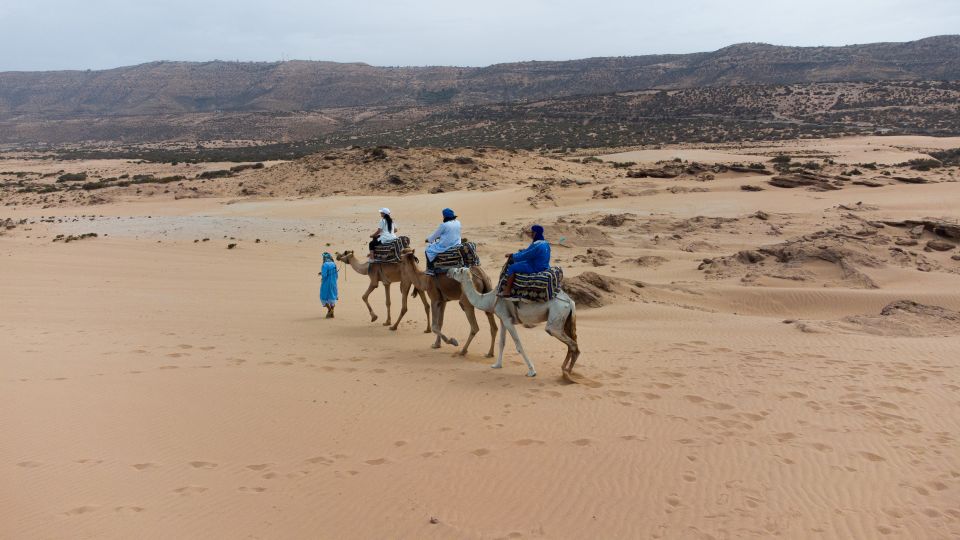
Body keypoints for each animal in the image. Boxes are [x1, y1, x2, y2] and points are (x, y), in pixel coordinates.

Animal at [448, 264, 576, 376]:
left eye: (459, 270)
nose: (449, 270)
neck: (490, 299)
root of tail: (570, 302)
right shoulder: (503, 318)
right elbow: (502, 342)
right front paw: (497, 365)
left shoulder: (508, 320)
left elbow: (518, 345)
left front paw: (532, 371)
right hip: (566, 319)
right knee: (572, 342)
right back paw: (566, 370)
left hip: (556, 317)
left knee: (567, 341)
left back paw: (567, 372)